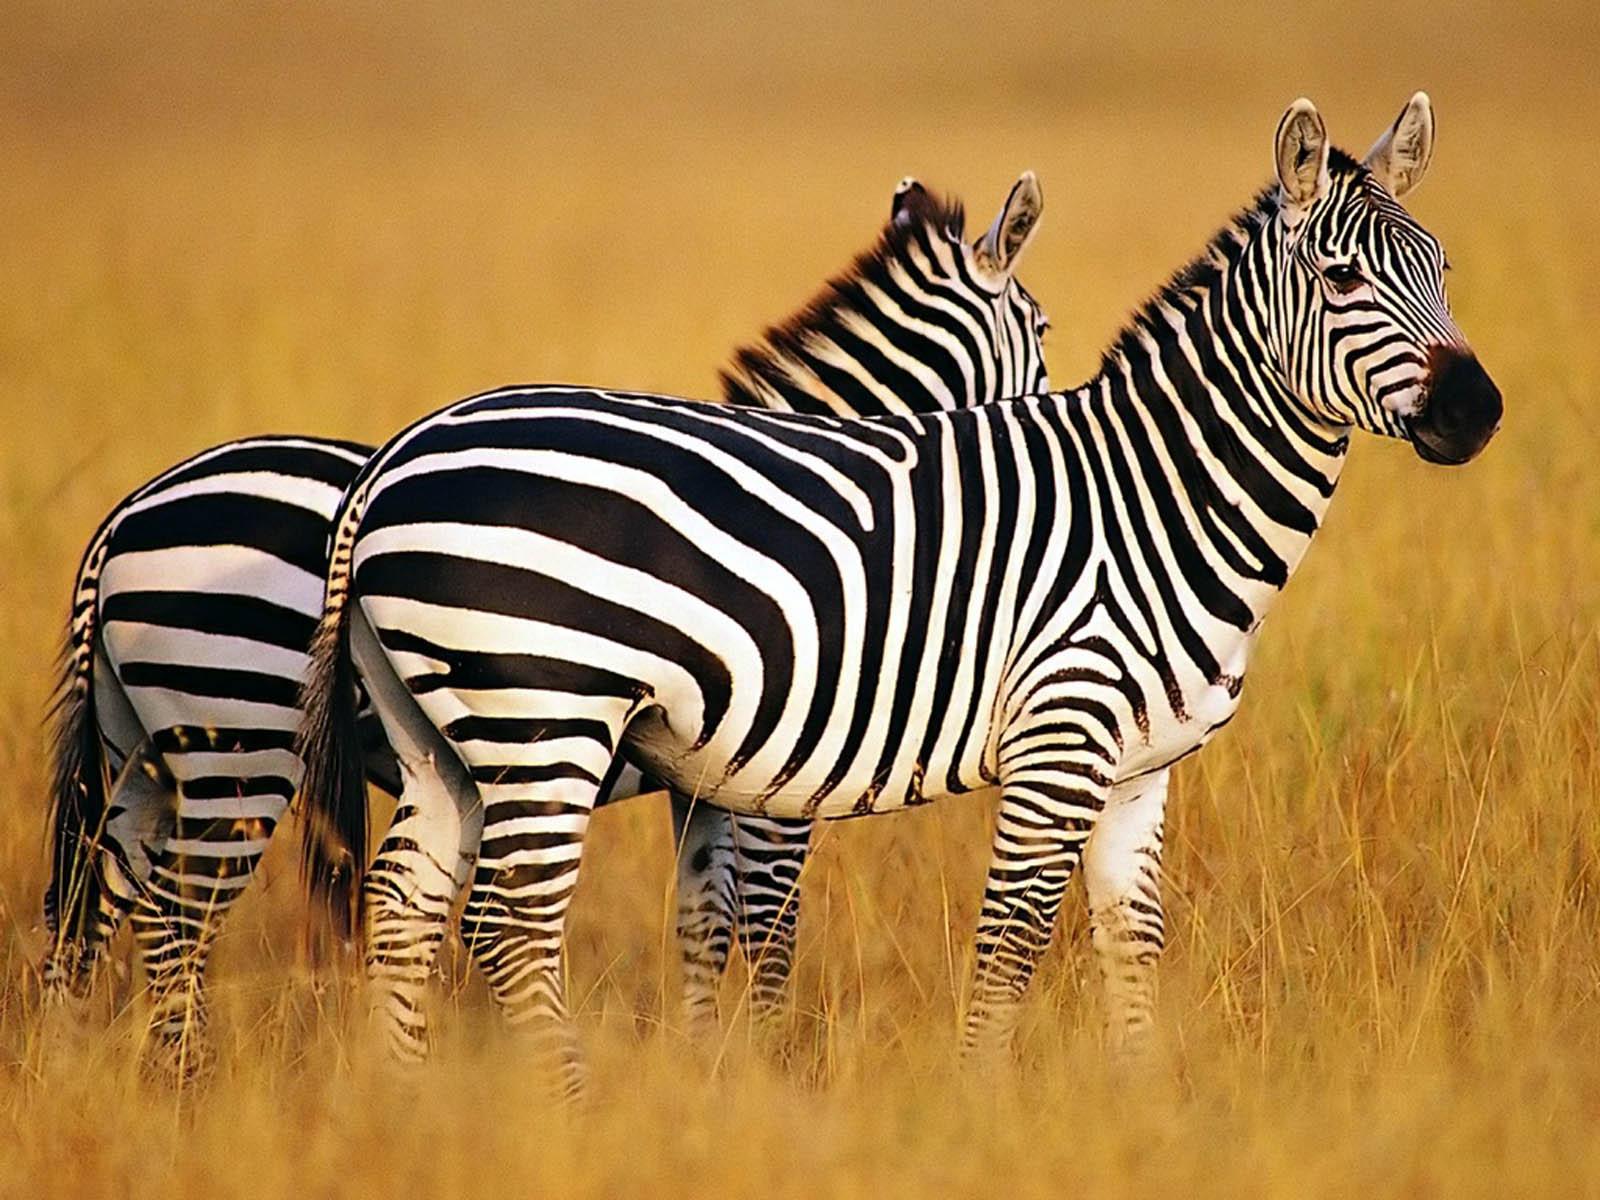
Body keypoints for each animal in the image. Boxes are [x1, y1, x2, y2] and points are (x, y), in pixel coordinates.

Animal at [40, 173, 1051, 1074]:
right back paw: (184, 1082)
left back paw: (76, 1076)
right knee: (175, 919)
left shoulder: (705, 783)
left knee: (89, 906)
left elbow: (702, 922)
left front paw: (703, 1064)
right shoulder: (770, 775)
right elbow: (766, 923)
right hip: (240, 738)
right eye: (1042, 330)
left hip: (144, 753)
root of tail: (122, 520)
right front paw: (764, 1063)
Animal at [295, 93, 1502, 1098]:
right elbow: (998, 943)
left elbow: (1131, 947)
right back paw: (572, 1110)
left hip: (442, 735)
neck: (1151, 497)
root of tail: (394, 457)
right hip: (542, 715)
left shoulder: (1137, 773)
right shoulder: (1041, 747)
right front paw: (969, 1111)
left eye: (1442, 266)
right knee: (510, 925)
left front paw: (1141, 1108)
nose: (1479, 410)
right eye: (1341, 281)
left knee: (404, 906)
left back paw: (406, 1102)